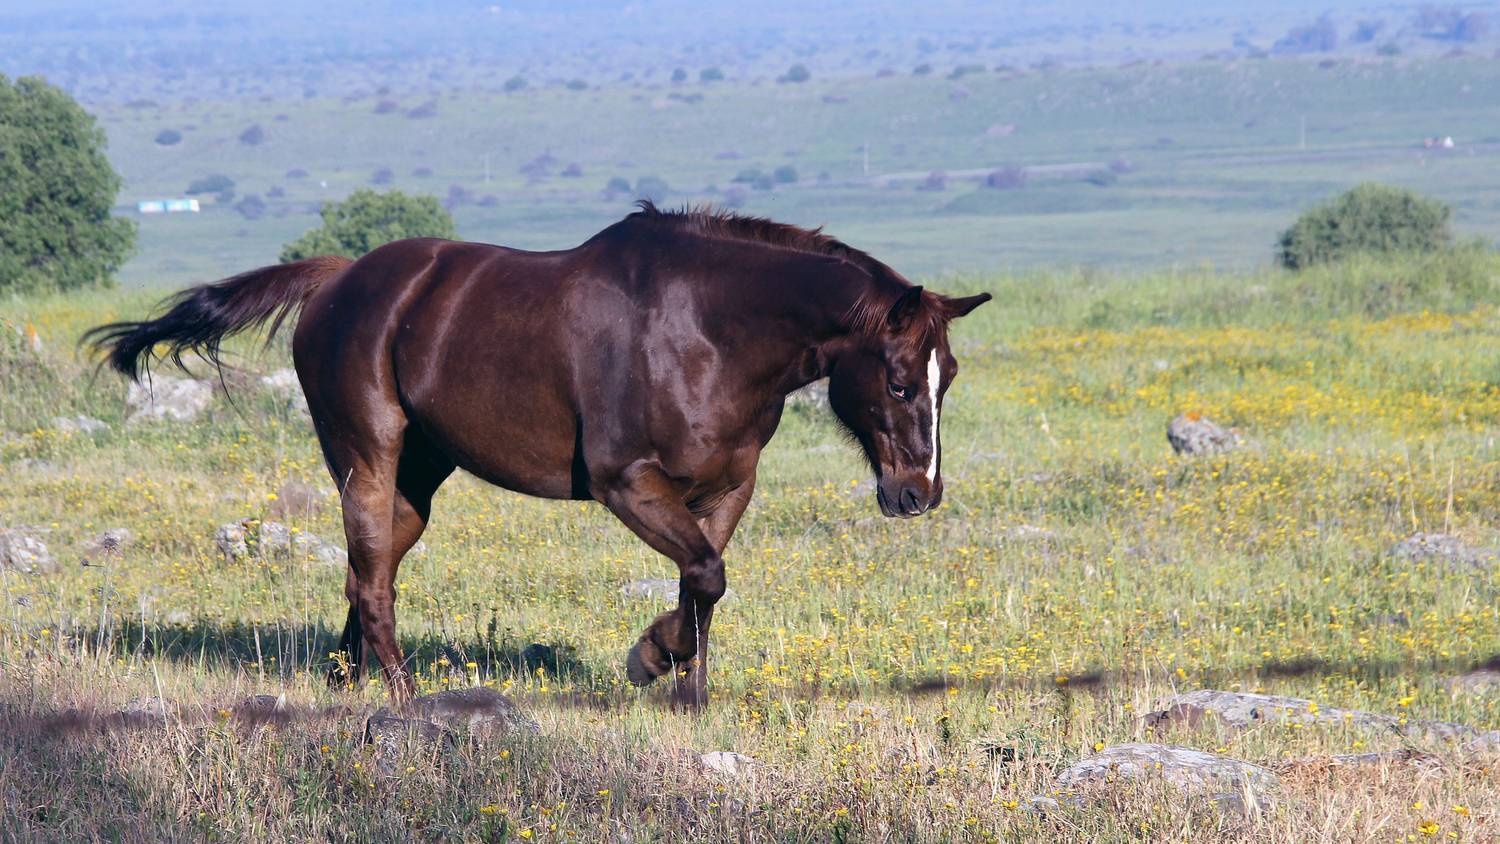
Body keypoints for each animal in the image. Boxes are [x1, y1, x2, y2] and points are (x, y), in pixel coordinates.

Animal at [85, 202, 990, 709]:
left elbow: (702, 585)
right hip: (366, 458)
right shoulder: (628, 483)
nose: (918, 494)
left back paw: (345, 682)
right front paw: (650, 660)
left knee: (363, 570)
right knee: (373, 581)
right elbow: (704, 580)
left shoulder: (724, 489)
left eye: (947, 378)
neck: (707, 329)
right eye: (900, 380)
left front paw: (688, 691)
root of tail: (339, 280)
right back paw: (403, 698)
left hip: (418, 476)